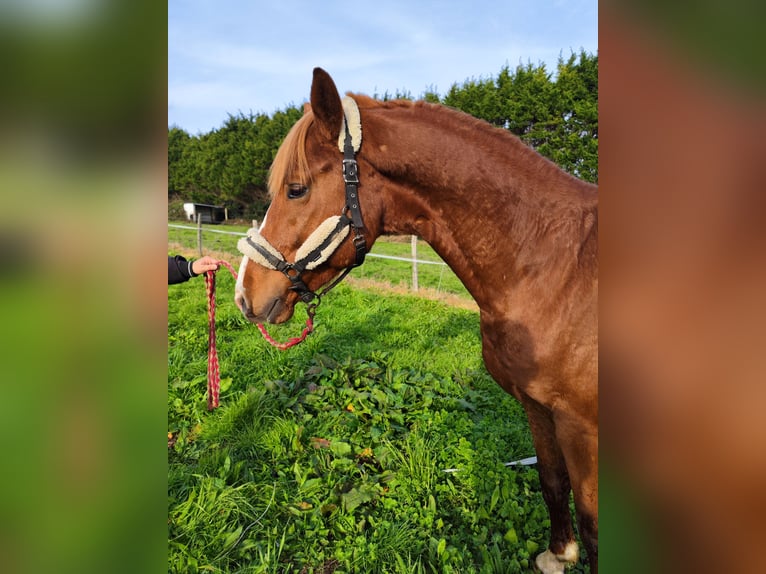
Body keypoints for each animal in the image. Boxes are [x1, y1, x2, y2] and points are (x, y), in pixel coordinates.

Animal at [234, 66, 600, 572]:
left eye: (296, 188)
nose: (245, 294)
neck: (554, 268)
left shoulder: (582, 426)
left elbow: (594, 526)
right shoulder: (538, 407)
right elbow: (551, 480)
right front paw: (558, 555)